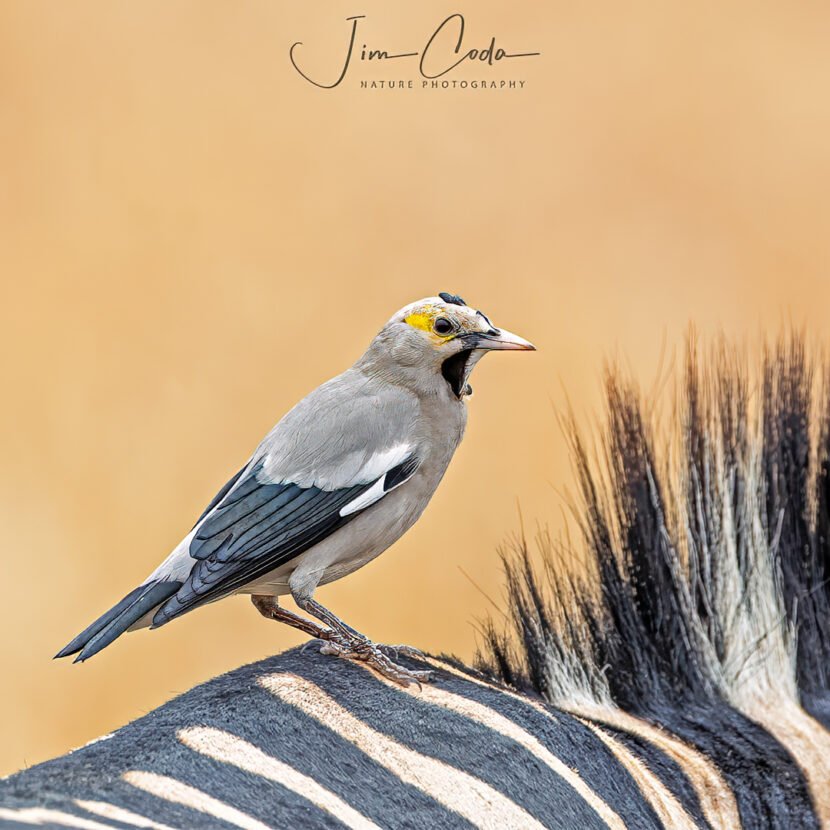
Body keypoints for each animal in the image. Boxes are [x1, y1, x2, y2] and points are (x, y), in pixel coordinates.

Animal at [1, 335, 828, 829]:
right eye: (444, 325)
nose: (496, 336)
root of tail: (187, 553)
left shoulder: (280, 579)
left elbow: (291, 614)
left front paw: (350, 651)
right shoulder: (323, 551)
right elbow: (320, 605)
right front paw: (378, 658)